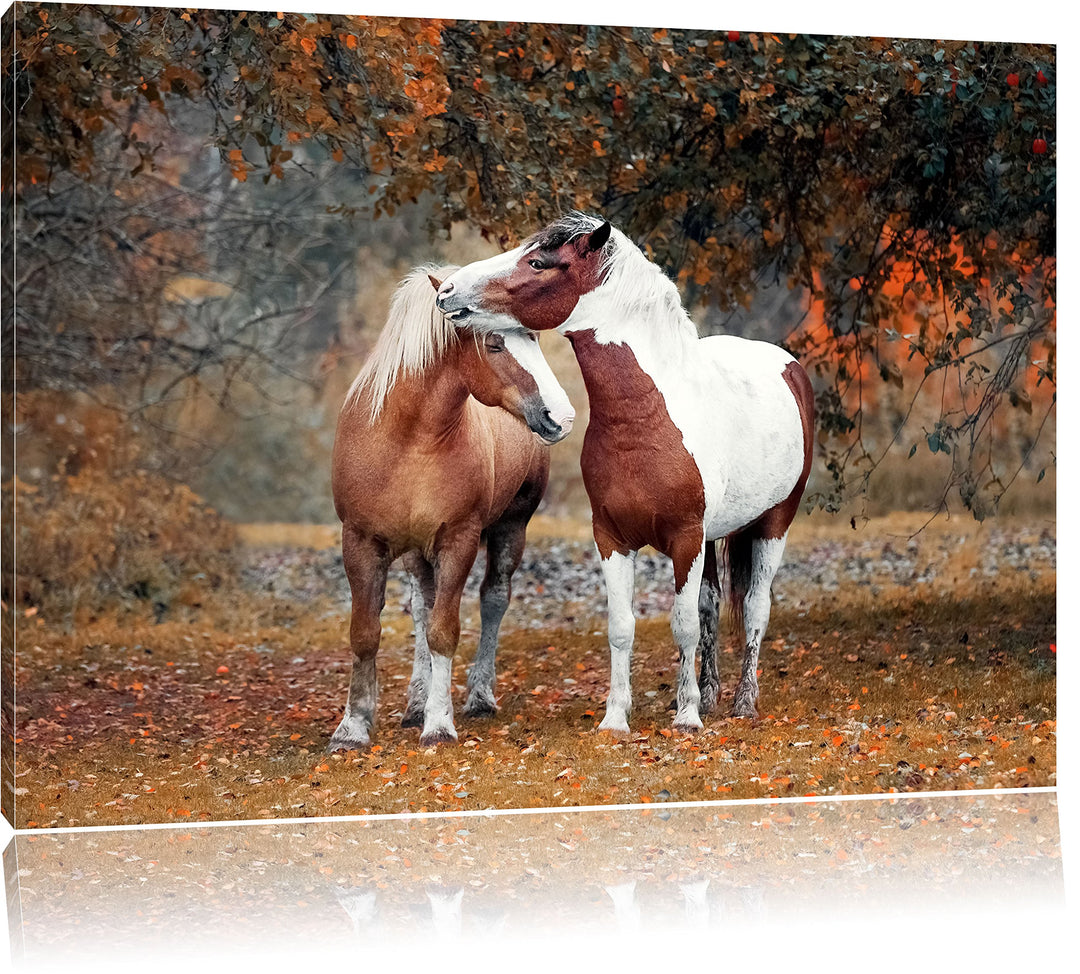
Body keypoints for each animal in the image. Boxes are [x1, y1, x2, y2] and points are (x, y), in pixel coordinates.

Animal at [330, 265, 575, 749]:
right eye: (495, 343)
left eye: (533, 338)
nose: (561, 417)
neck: (408, 441)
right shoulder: (361, 542)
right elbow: (367, 633)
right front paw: (353, 727)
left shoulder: (457, 541)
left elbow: (444, 632)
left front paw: (439, 724)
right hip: (416, 552)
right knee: (421, 607)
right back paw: (415, 703)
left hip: (511, 528)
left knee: (493, 598)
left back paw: (479, 696)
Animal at [434, 214, 814, 734]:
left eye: (538, 262)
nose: (447, 290)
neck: (645, 417)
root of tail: (787, 365)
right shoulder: (612, 539)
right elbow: (623, 627)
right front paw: (617, 719)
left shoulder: (686, 539)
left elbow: (682, 624)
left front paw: (687, 719)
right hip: (716, 536)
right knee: (713, 605)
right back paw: (711, 696)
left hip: (775, 524)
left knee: (756, 608)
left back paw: (743, 704)